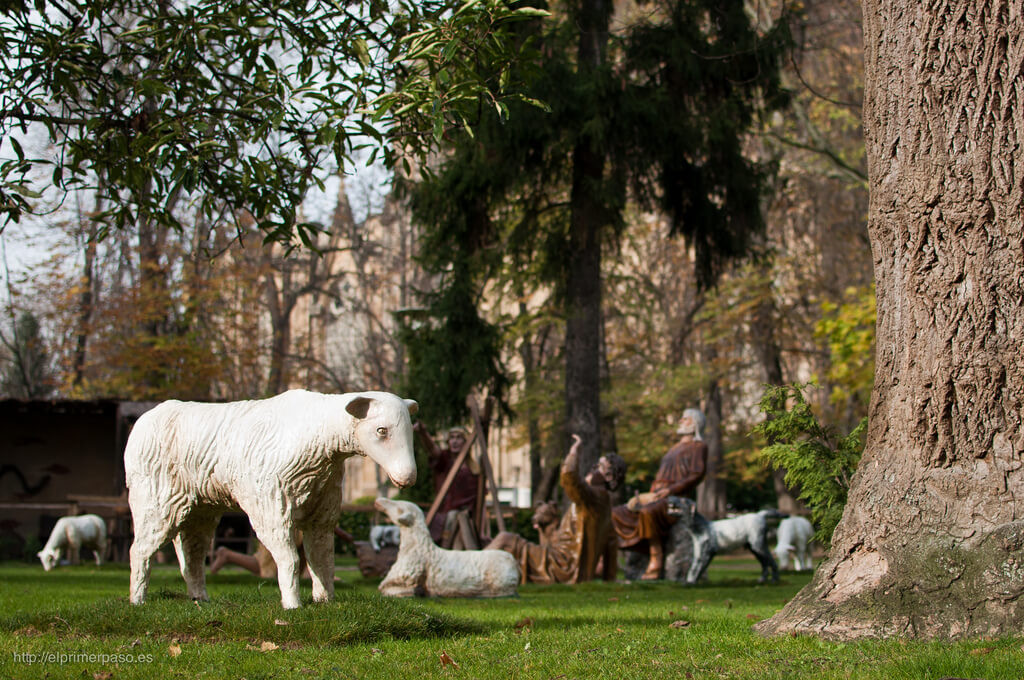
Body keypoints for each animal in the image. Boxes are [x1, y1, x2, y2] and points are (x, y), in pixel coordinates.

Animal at [124, 391, 419, 606]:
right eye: (381, 430)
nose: (408, 478)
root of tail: (146, 419)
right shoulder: (271, 507)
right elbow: (291, 559)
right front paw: (292, 605)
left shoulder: (321, 514)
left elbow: (322, 558)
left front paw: (325, 601)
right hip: (155, 500)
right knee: (139, 550)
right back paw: (137, 600)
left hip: (199, 509)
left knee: (192, 553)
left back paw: (200, 599)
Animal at [376, 497, 520, 598]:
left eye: (399, 507)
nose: (378, 501)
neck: (418, 548)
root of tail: (513, 560)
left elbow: (391, 590)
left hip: (501, 584)